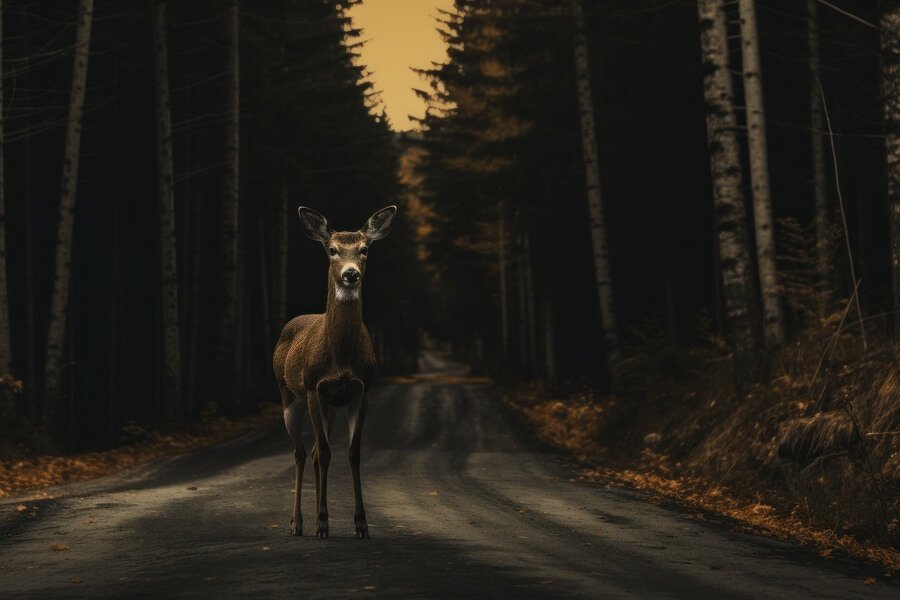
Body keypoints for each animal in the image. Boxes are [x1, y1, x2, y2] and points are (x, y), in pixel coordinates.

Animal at [272, 205, 396, 540]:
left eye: (364, 249)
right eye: (332, 250)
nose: (350, 273)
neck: (340, 358)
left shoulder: (361, 390)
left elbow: (352, 453)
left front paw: (360, 524)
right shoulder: (315, 386)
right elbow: (327, 454)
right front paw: (322, 524)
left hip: (329, 406)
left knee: (315, 450)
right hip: (290, 395)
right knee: (301, 453)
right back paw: (298, 523)